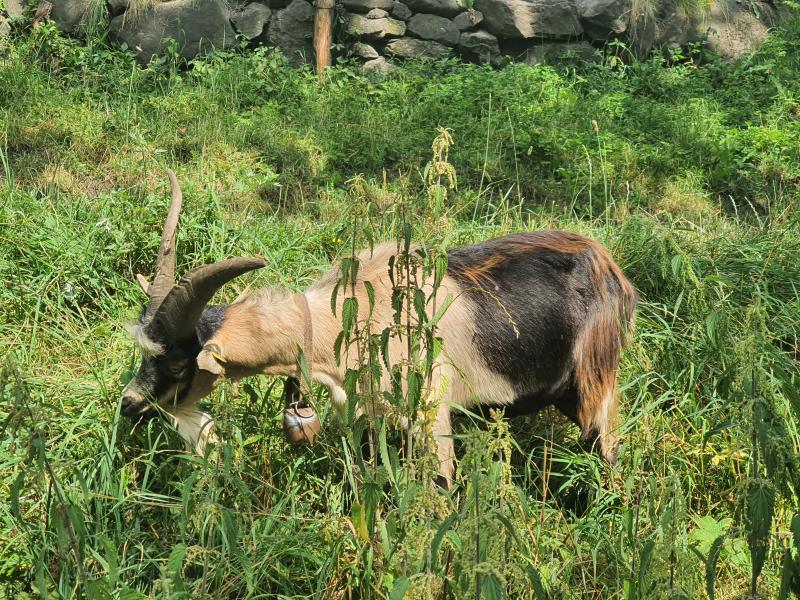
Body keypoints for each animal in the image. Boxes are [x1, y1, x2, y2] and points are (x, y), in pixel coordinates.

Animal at [123, 172, 636, 478]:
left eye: (176, 365)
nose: (129, 405)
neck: (337, 322)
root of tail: (613, 273)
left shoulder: (432, 414)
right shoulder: (372, 417)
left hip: (597, 382)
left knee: (606, 449)